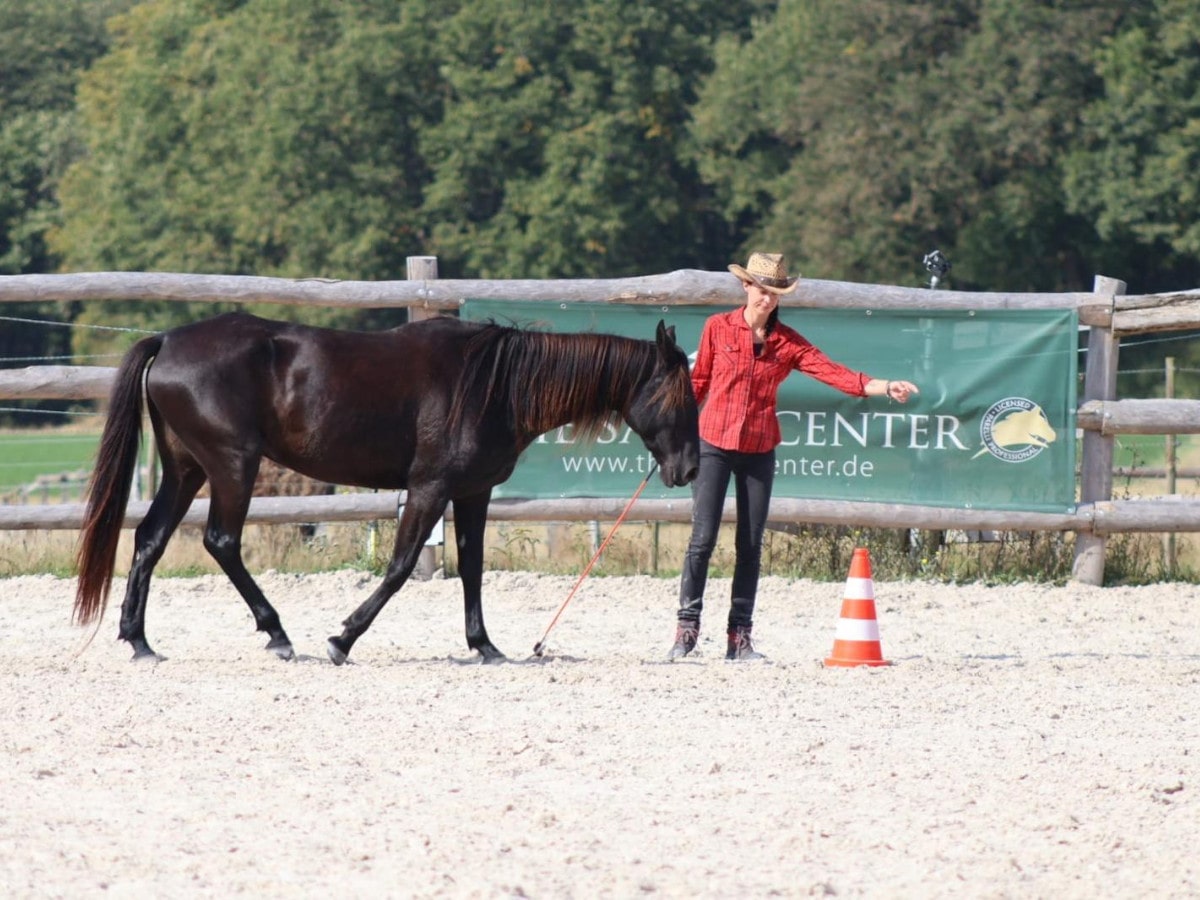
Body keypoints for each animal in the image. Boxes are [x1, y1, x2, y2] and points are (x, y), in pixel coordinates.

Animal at [70, 314, 700, 667]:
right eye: (681, 396)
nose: (691, 468)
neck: (495, 384)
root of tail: (168, 341)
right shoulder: (429, 489)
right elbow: (399, 567)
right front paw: (342, 639)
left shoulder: (472, 493)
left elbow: (473, 570)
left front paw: (485, 646)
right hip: (231, 466)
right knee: (221, 541)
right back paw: (278, 634)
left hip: (186, 470)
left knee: (150, 541)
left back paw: (139, 641)